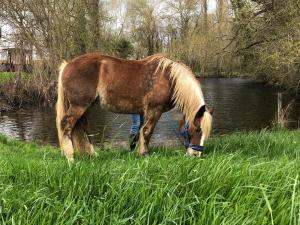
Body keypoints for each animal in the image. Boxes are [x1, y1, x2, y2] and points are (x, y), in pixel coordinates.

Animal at [55, 53, 212, 161]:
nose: (196, 154)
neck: (169, 78)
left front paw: (138, 152)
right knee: (66, 125)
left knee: (81, 128)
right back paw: (70, 158)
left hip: (85, 107)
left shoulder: (143, 112)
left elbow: (141, 132)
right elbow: (147, 131)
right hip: (79, 105)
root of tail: (67, 65)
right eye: (197, 129)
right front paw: (144, 154)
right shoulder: (154, 110)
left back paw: (92, 154)